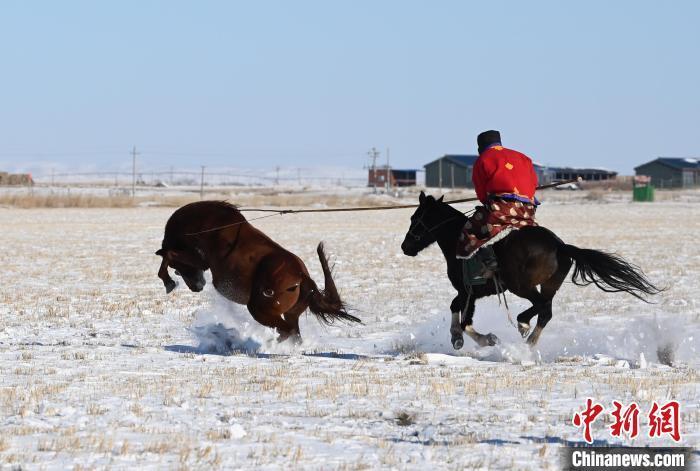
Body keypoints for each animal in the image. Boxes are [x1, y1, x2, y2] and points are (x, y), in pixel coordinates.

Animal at [157, 200, 360, 342]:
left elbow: (168, 255)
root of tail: (303, 278)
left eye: (178, 268)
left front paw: (168, 282)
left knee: (287, 331)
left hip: (260, 309)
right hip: (288, 313)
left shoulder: (199, 258)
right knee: (293, 332)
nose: (197, 287)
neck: (207, 225)